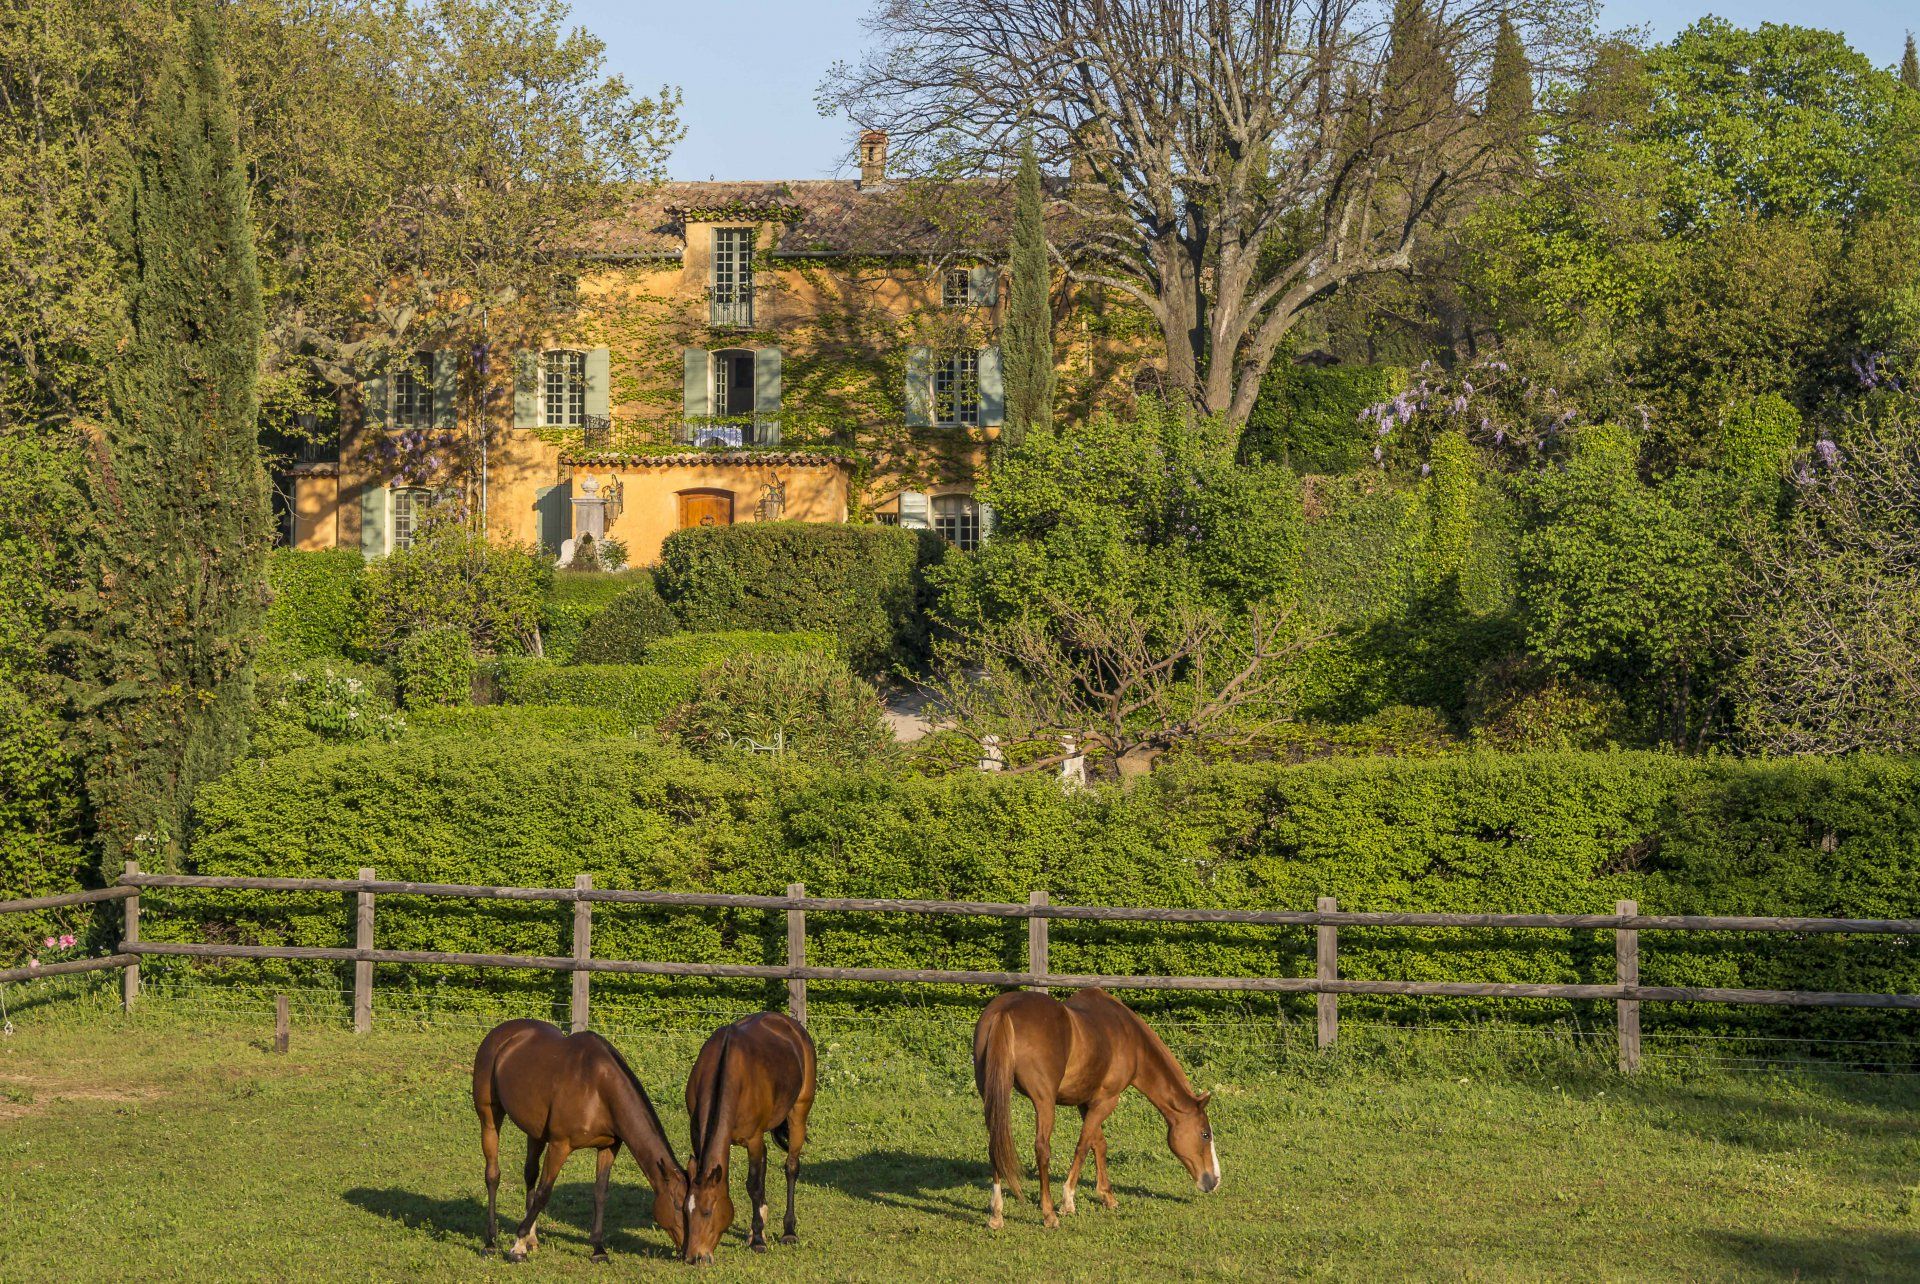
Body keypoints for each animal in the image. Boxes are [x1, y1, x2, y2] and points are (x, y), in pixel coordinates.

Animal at [472, 1021, 691, 1259]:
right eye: (678, 1205)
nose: (691, 1251)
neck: (598, 1087)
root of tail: (499, 1033)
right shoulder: (559, 1145)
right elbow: (543, 1193)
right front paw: (517, 1245)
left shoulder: (609, 1147)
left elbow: (600, 1193)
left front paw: (598, 1249)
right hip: (489, 1117)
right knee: (493, 1175)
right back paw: (491, 1241)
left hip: (535, 1132)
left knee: (530, 1174)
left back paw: (532, 1239)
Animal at [683, 1013, 817, 1259]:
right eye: (685, 1211)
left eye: (708, 1212)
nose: (694, 1256)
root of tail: (791, 1024)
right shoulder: (698, 1138)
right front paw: (757, 1232)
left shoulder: (753, 1140)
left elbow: (753, 1185)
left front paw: (758, 1240)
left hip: (799, 1113)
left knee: (791, 1167)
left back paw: (789, 1231)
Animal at [967, 990, 1221, 1228]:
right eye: (1205, 1134)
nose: (1214, 1180)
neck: (1130, 1039)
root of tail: (1005, 1011)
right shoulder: (1107, 1100)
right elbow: (1083, 1146)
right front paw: (1068, 1201)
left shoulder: (1086, 1102)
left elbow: (1098, 1143)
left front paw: (1107, 1196)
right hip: (1044, 1102)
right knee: (1042, 1149)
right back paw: (1048, 1214)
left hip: (991, 1096)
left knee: (995, 1145)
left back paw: (996, 1214)